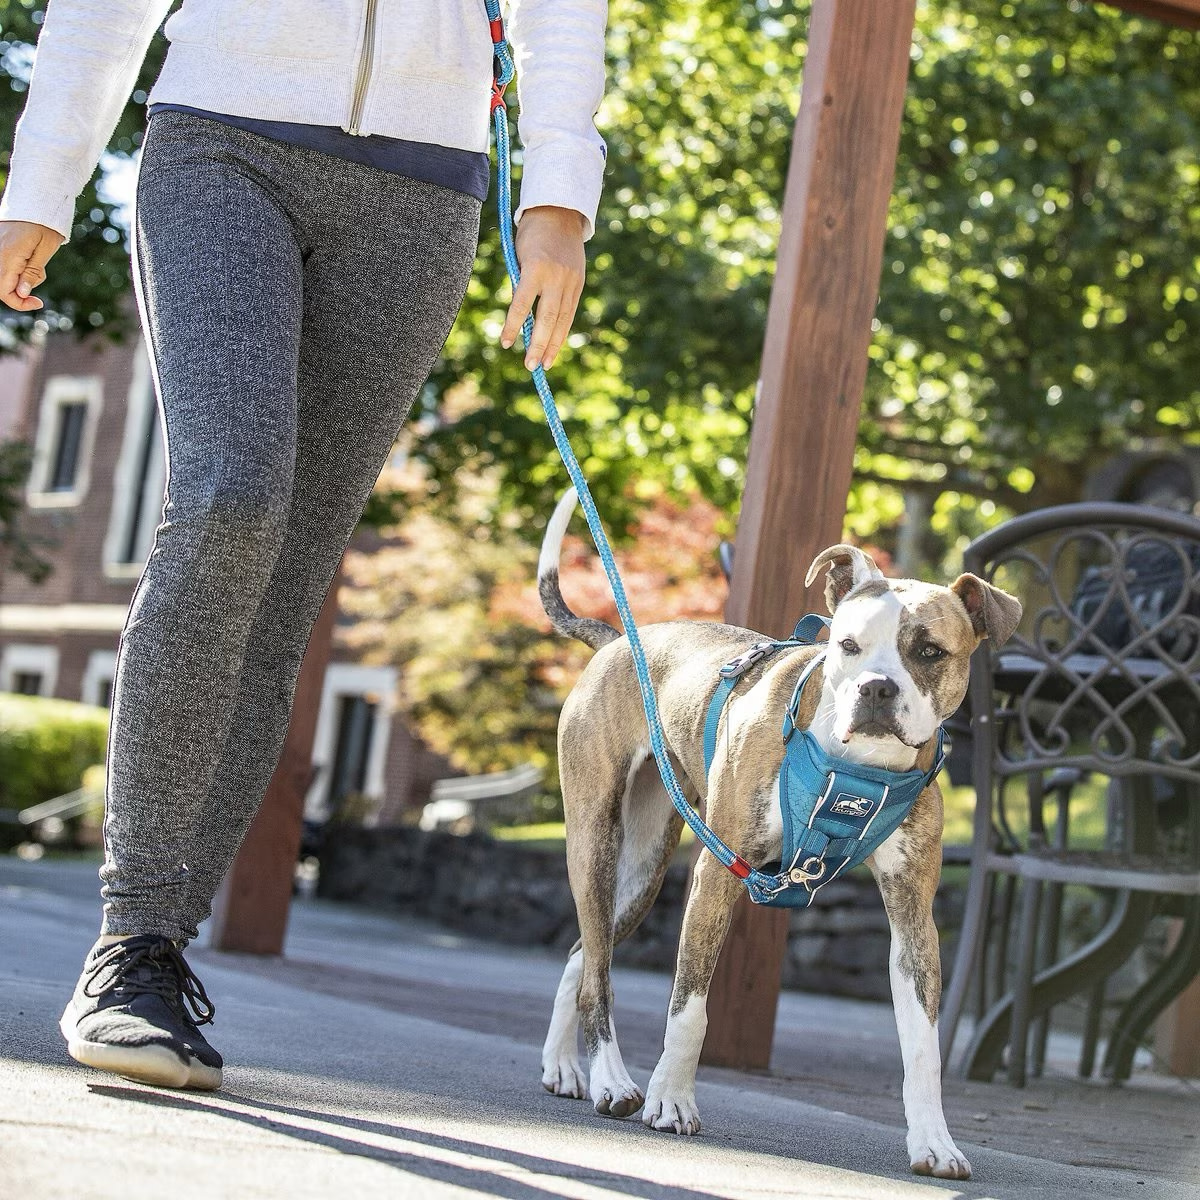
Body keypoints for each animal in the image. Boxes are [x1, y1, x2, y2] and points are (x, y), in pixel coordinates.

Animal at [540, 489, 1017, 1180]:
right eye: (847, 644)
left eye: (929, 651)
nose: (877, 688)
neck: (853, 768)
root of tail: (620, 637)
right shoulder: (718, 872)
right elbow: (690, 1006)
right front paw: (671, 1101)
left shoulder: (914, 919)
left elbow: (923, 1047)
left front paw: (935, 1142)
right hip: (596, 841)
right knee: (599, 968)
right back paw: (612, 1080)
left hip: (642, 871)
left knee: (585, 951)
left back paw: (564, 1066)